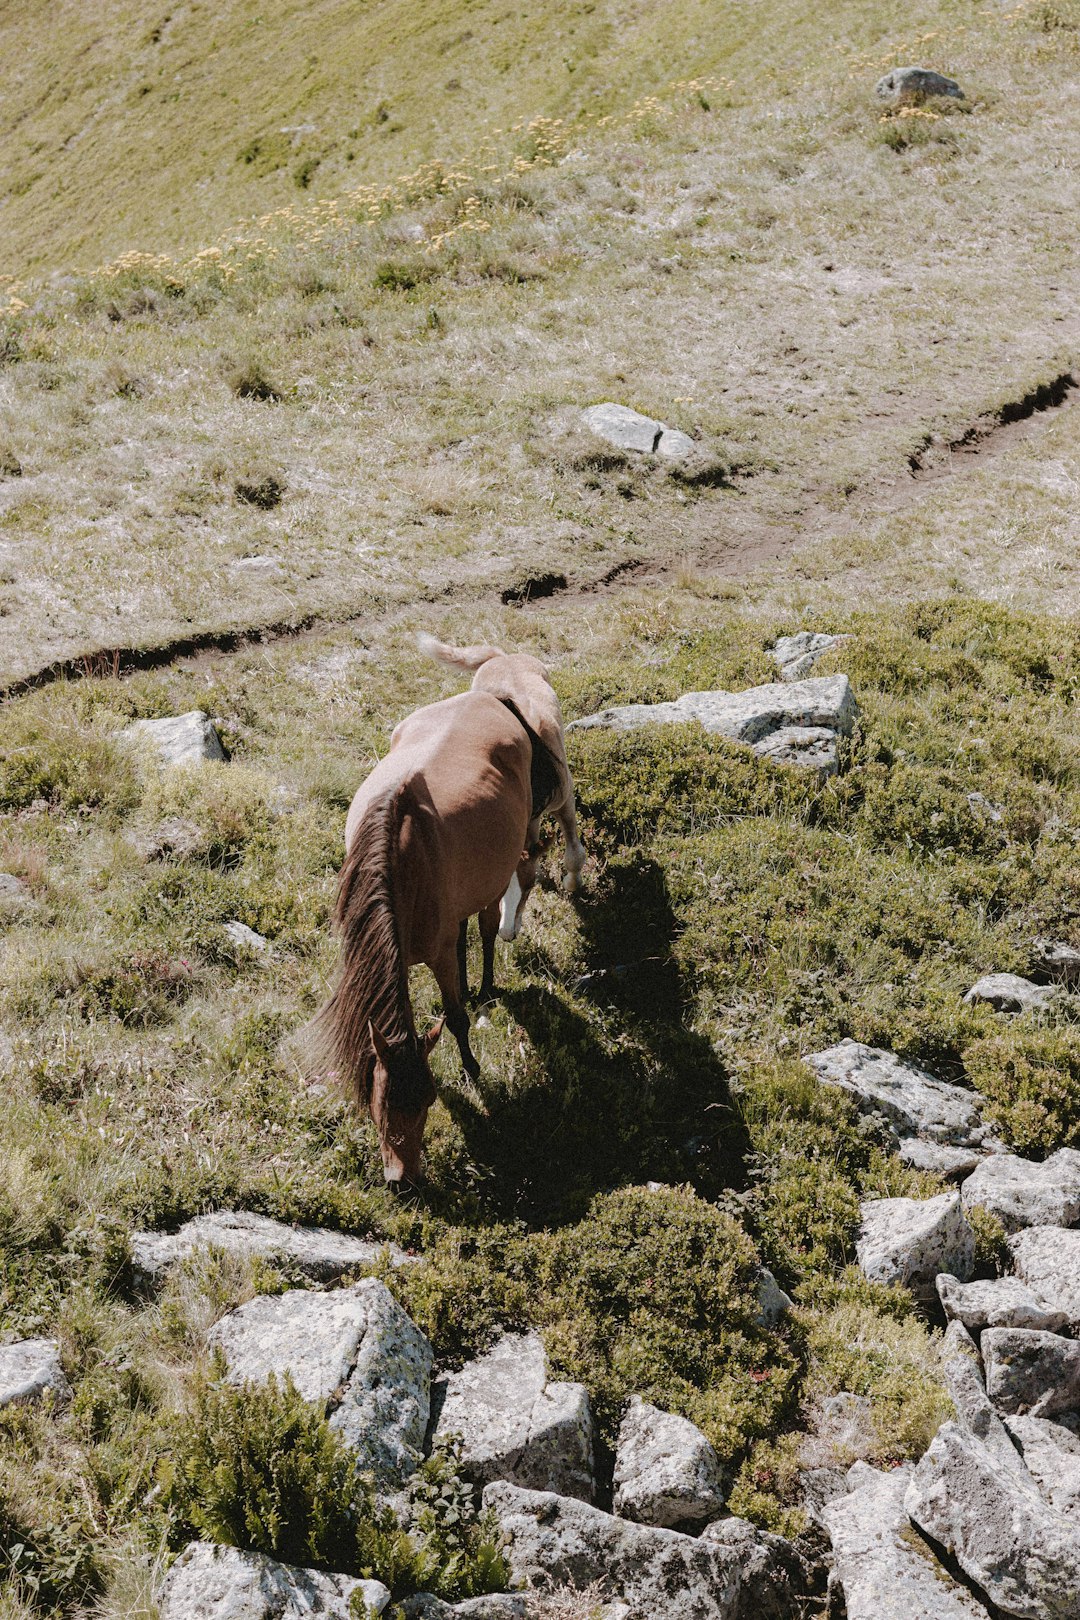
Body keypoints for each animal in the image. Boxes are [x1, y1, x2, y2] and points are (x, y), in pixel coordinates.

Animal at [312, 690, 550, 1185]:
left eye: (428, 1101)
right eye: (378, 1102)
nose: (402, 1181)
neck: (400, 860)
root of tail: (485, 695)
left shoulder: (436, 954)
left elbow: (455, 1016)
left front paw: (472, 1068)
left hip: (497, 875)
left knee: (483, 928)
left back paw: (484, 987)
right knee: (463, 930)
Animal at [417, 631, 582, 997]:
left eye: (528, 885)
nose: (507, 933)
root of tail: (502, 657)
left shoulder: (564, 801)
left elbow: (574, 855)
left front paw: (573, 885)